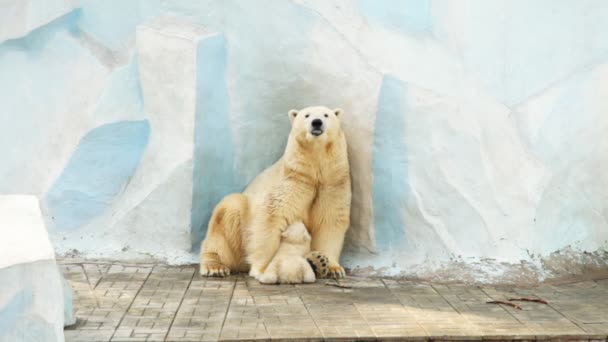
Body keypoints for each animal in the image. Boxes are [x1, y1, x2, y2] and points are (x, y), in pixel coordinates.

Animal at [200, 106, 352, 280]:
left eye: (326, 115)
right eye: (306, 115)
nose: (316, 122)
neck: (313, 171)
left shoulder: (332, 182)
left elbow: (329, 221)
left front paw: (334, 268)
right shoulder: (293, 180)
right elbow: (271, 217)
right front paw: (262, 269)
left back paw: (316, 261)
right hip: (239, 223)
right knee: (227, 214)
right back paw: (215, 267)